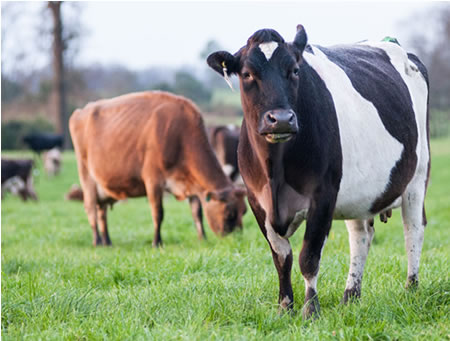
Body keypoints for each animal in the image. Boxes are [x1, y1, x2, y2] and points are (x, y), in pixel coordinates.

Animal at [69, 90, 246, 244]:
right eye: (230, 213)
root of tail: (81, 111)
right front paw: (156, 242)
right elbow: (158, 213)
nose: (237, 237)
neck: (180, 136)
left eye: (244, 211)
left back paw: (107, 241)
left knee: (102, 211)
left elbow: (197, 212)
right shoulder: (153, 180)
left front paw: (202, 238)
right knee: (91, 209)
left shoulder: (192, 182)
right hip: (87, 179)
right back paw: (97, 241)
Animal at [207, 25, 428, 318]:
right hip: (358, 194)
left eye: (294, 70)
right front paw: (285, 307)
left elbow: (308, 257)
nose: (281, 119)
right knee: (361, 237)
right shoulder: (257, 202)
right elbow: (282, 258)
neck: (275, 170)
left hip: (417, 178)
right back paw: (350, 296)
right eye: (247, 74)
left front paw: (311, 309)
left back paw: (411, 289)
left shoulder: (323, 195)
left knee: (412, 229)